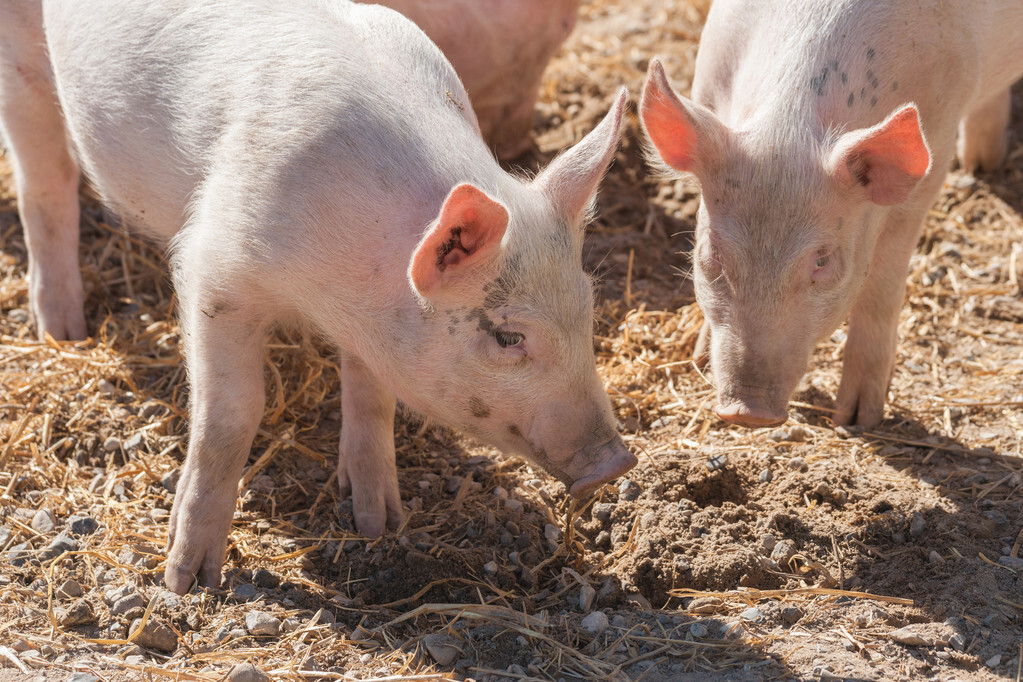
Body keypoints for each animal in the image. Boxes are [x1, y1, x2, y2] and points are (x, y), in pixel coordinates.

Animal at [638, 0, 1023, 427]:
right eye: (713, 253)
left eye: (822, 260)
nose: (747, 411)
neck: (790, 129)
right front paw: (699, 360)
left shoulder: (933, 157)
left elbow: (882, 285)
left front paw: (856, 419)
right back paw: (980, 164)